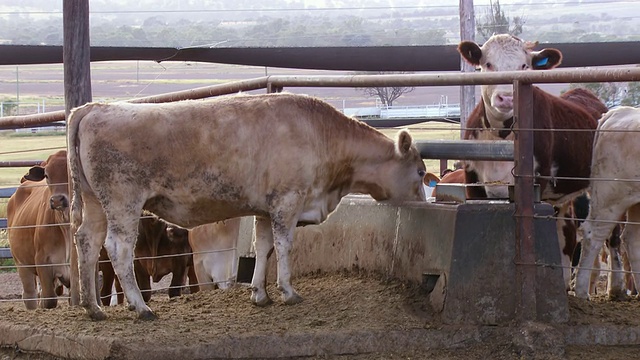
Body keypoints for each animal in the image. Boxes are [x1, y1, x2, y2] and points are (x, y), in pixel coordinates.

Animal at [7, 149, 71, 310]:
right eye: (47, 175)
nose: (57, 200)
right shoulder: (43, 262)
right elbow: (49, 301)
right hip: (21, 263)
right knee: (30, 295)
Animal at [458, 33, 608, 286]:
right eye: (488, 64)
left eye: (524, 65)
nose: (507, 98)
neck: (501, 137)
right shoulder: (473, 182)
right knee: (568, 232)